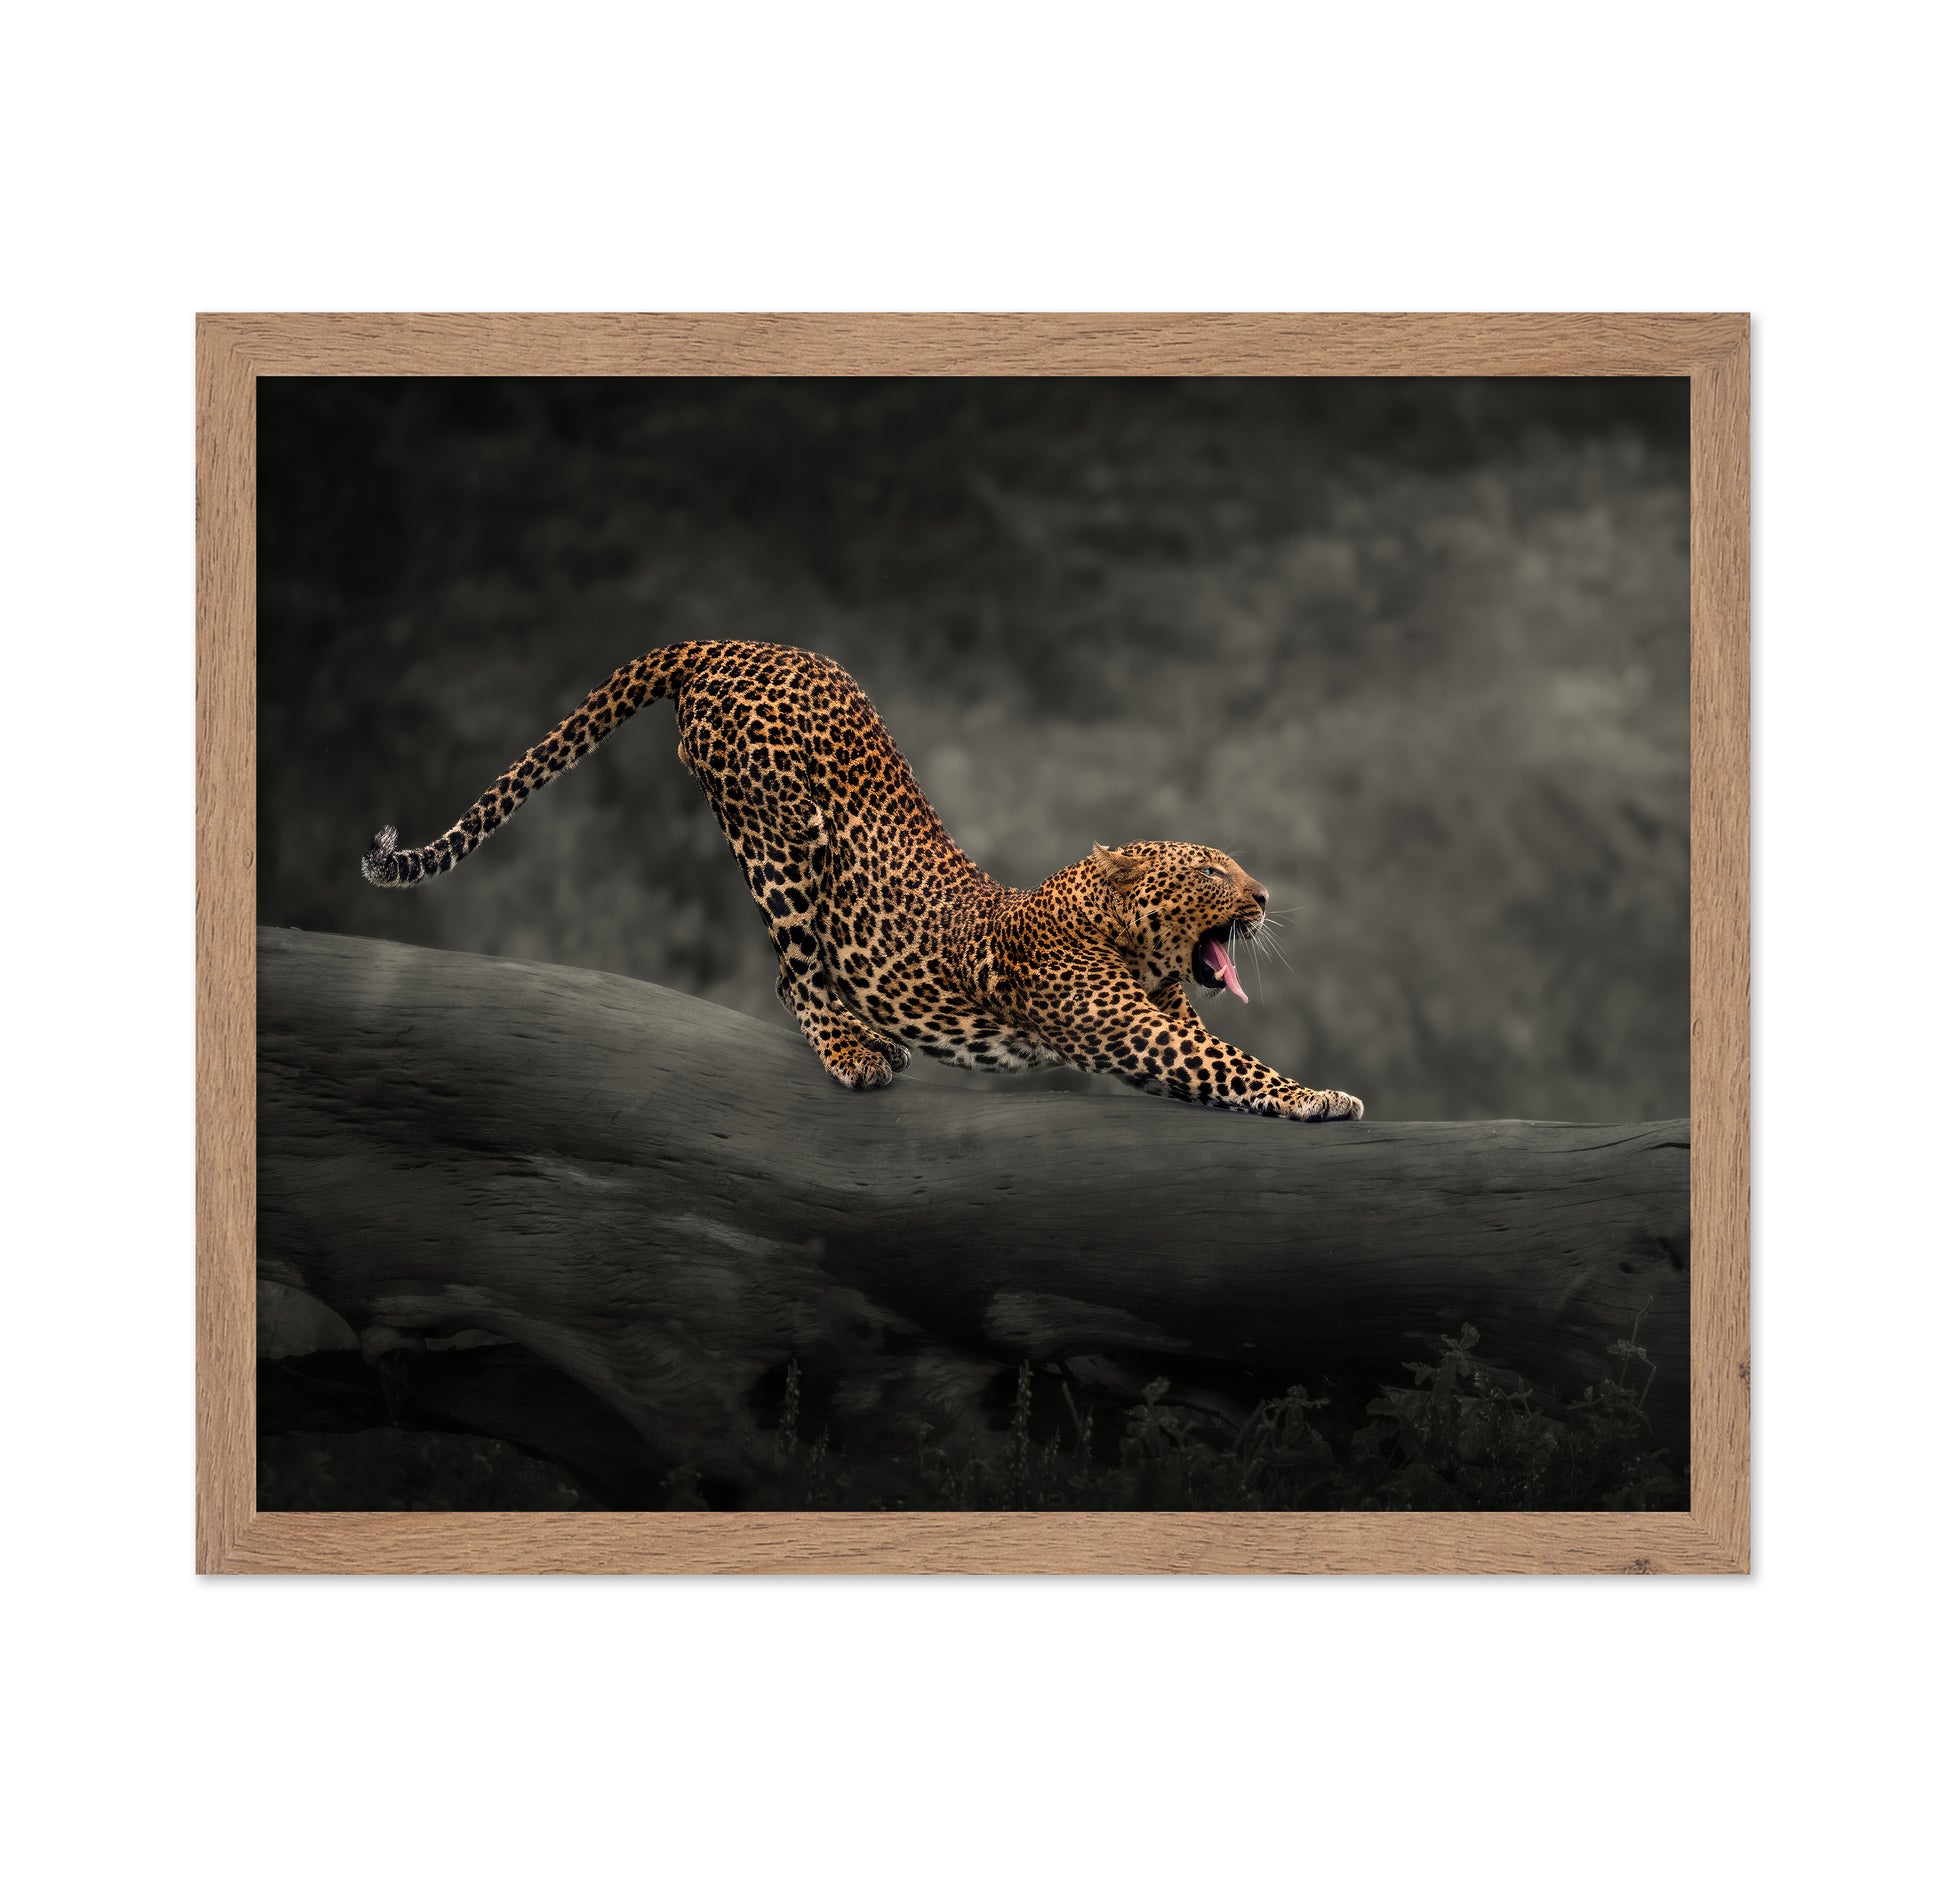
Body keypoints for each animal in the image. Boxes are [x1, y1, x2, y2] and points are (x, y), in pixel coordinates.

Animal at [361, 639, 1364, 1121]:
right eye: (1211, 869)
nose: (1263, 896)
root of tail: (726, 642)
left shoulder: (1165, 1012)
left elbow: (1218, 1052)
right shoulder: (1135, 1028)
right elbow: (1228, 1064)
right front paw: (1321, 1097)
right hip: (777, 841)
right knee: (793, 971)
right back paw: (856, 1049)